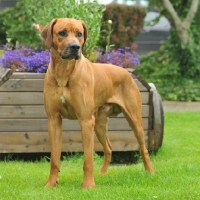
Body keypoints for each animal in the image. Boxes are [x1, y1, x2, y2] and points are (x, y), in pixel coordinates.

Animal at [40, 18, 155, 188]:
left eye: (79, 34)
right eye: (62, 33)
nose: (75, 47)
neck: (64, 71)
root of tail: (127, 72)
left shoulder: (86, 120)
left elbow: (88, 159)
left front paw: (88, 185)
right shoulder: (53, 120)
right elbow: (54, 159)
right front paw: (51, 184)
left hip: (134, 120)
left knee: (143, 148)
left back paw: (150, 171)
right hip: (100, 123)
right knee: (109, 148)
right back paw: (102, 174)